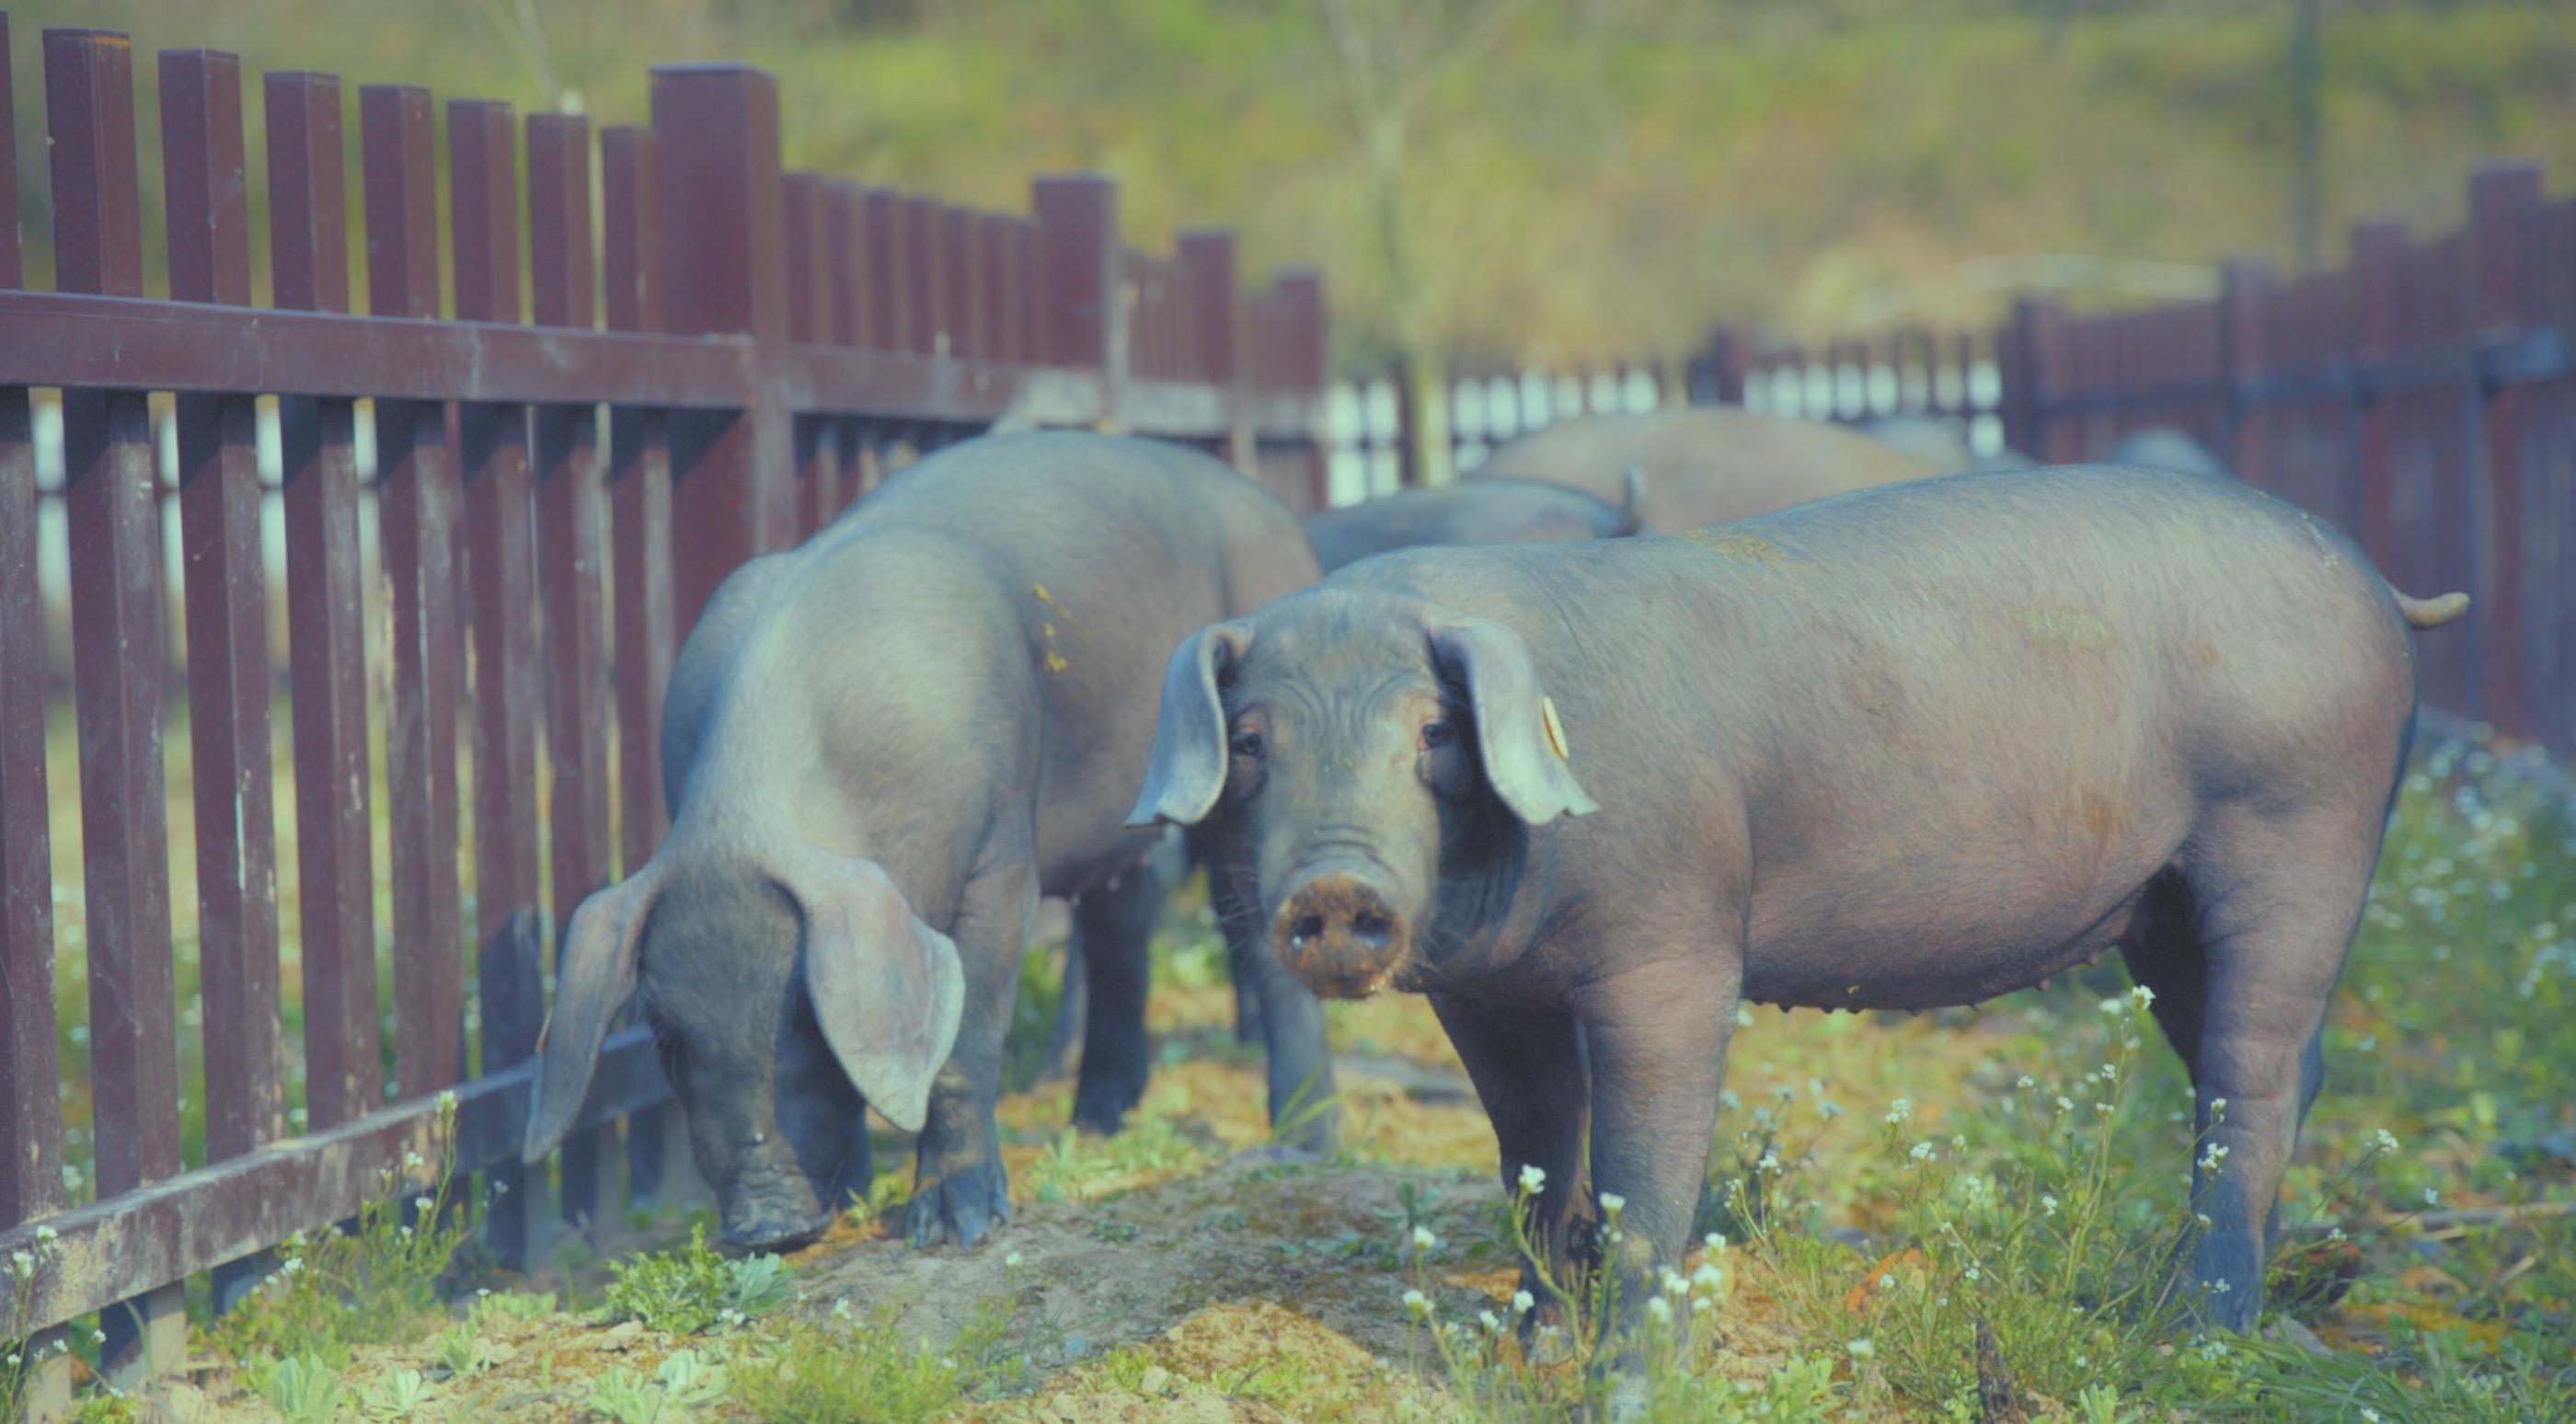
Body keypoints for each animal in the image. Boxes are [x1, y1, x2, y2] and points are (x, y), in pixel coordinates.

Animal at [517, 427, 1328, 1251]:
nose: (768, 1224)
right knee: (1122, 930)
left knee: (1263, 951)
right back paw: (1096, 1126)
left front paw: (953, 1229)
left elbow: (967, 1044)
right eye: (666, 1037)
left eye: (804, 1019)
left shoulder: (1002, 859)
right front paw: (853, 1200)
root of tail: (1279, 516)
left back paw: (1301, 1144)